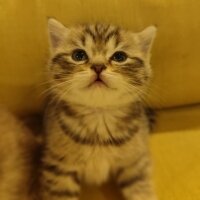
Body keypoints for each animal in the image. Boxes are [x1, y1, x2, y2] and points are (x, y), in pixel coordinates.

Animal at [39, 18, 157, 199]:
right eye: (78, 55)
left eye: (119, 57)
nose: (98, 66)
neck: (99, 118)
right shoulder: (60, 168)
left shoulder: (135, 164)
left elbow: (142, 190)